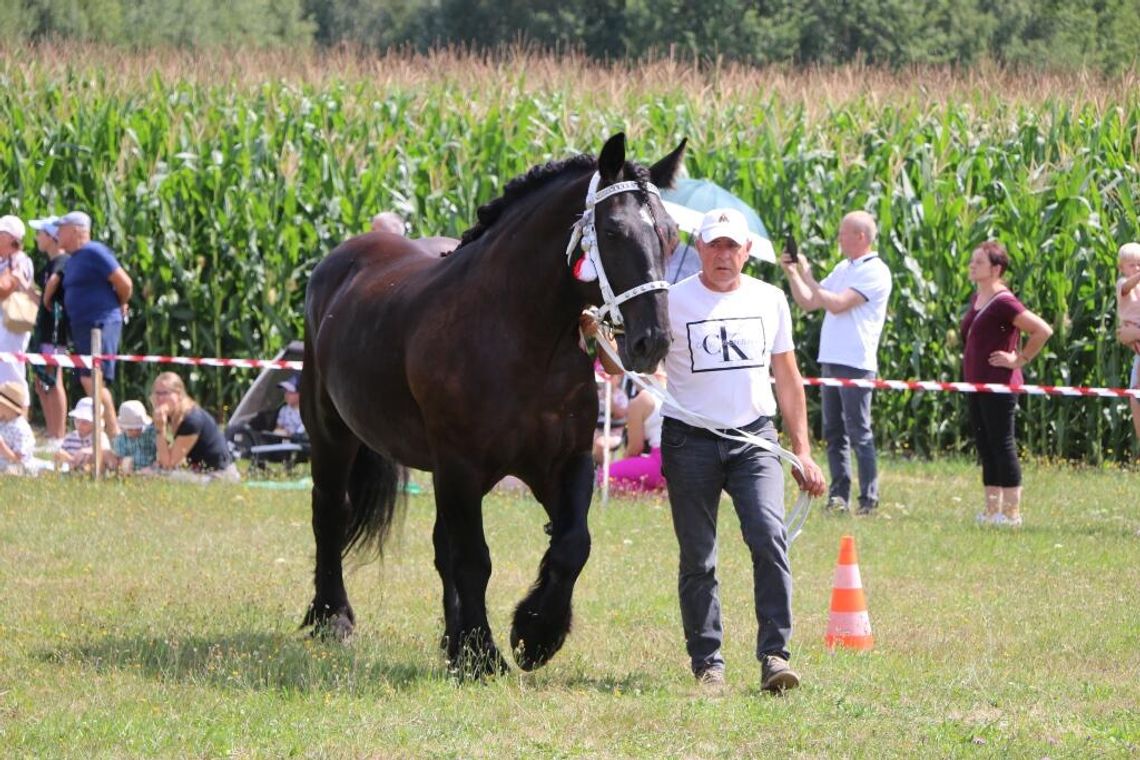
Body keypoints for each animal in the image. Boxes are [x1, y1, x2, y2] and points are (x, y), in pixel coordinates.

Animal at [298, 132, 684, 679]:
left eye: (670, 235)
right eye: (612, 231)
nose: (653, 341)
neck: (519, 338)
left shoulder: (565, 463)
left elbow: (572, 545)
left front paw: (535, 634)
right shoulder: (461, 466)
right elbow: (474, 559)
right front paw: (484, 653)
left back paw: (449, 640)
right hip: (331, 434)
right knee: (330, 513)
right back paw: (333, 618)